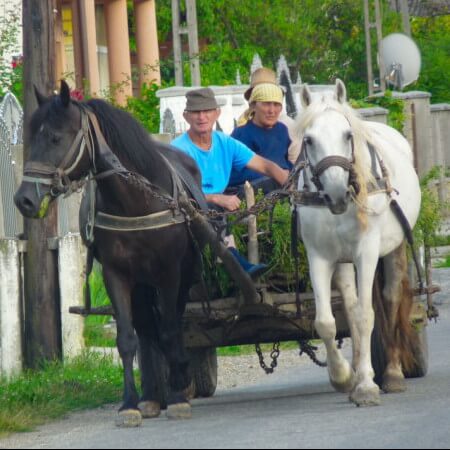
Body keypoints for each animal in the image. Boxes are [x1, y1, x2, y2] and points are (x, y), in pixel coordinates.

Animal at [14, 80, 258, 426]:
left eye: (55, 138)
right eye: (31, 137)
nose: (24, 200)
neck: (135, 200)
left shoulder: (169, 273)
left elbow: (170, 331)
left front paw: (178, 396)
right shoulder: (116, 274)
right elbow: (127, 340)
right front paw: (130, 403)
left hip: (181, 277)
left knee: (172, 326)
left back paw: (178, 380)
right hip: (142, 283)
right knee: (146, 331)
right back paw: (152, 395)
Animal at [296, 81, 422, 408]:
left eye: (347, 135)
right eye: (309, 139)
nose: (337, 193)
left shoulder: (366, 252)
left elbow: (367, 316)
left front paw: (366, 386)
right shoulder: (320, 257)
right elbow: (326, 321)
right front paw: (343, 377)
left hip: (394, 249)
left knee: (390, 299)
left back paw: (392, 374)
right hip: (343, 262)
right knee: (350, 308)